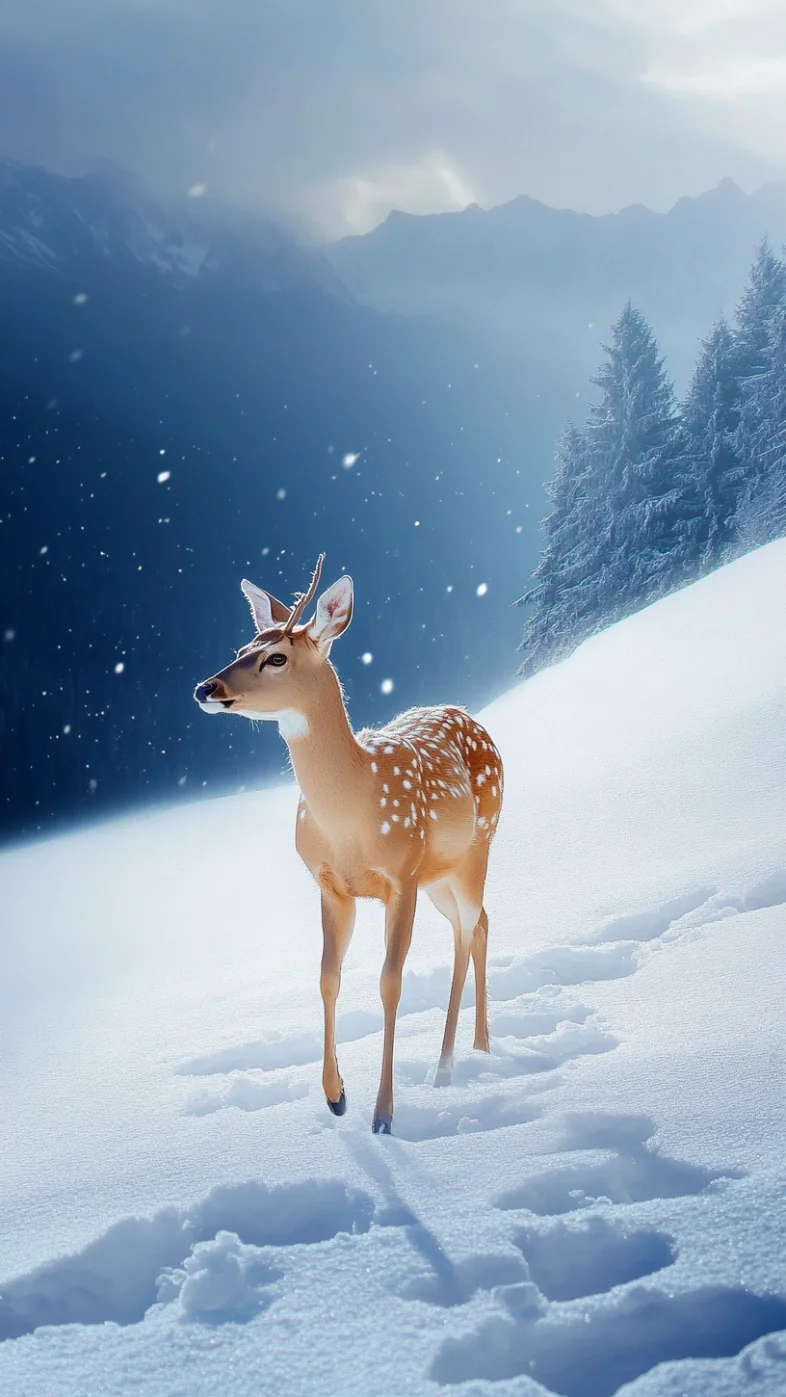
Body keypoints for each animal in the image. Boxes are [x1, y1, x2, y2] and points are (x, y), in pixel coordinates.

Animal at [194, 556, 504, 1135]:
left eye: (275, 656)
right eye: (241, 646)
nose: (206, 687)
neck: (350, 818)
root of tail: (472, 716)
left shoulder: (400, 877)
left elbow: (390, 983)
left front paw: (383, 1115)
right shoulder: (329, 884)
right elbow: (327, 978)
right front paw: (336, 1095)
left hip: (479, 845)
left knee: (468, 928)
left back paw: (451, 1064)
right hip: (441, 875)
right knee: (476, 925)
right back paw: (472, 1052)